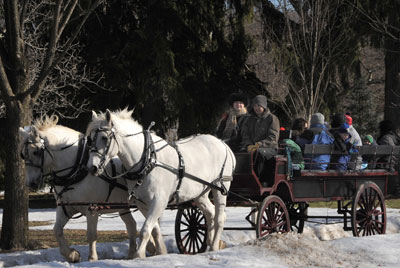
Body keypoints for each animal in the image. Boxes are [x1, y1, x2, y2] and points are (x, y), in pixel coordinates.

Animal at [18, 115, 159, 262]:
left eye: (36, 152)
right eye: (22, 154)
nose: (30, 183)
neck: (77, 169)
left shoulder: (92, 208)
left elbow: (91, 234)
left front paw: (92, 258)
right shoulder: (66, 207)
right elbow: (57, 230)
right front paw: (72, 254)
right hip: (123, 205)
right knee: (132, 225)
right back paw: (137, 251)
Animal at [85, 108, 234, 258]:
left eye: (104, 138)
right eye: (90, 139)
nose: (92, 168)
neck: (148, 161)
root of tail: (223, 144)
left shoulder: (159, 201)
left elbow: (145, 230)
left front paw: (139, 255)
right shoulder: (142, 203)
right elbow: (154, 230)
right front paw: (160, 252)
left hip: (220, 187)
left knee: (220, 217)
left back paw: (214, 246)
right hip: (200, 193)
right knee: (210, 214)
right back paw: (211, 241)